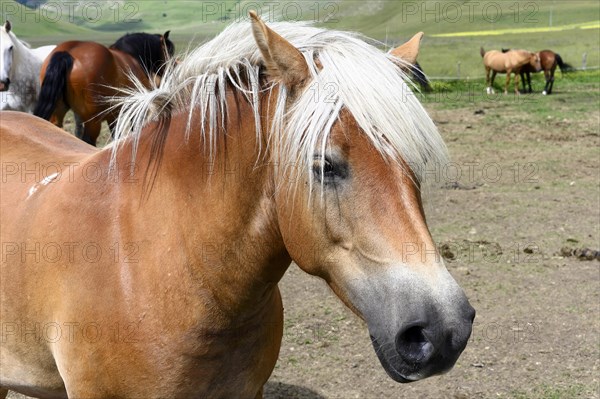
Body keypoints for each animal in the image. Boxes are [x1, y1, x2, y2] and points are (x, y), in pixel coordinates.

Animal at [33, 31, 173, 146]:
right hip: (93, 121)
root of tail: (68, 54)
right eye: (170, 51)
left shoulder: (114, 115)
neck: (132, 56)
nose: (171, 71)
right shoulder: (134, 109)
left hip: (58, 113)